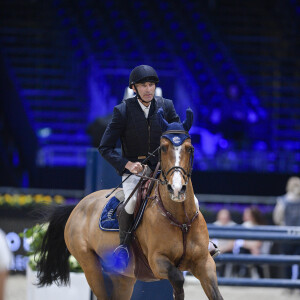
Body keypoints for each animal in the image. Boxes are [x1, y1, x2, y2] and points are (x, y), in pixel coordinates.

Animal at [37, 108, 223, 300]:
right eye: (163, 148)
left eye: (190, 148)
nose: (177, 189)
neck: (180, 220)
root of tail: (77, 207)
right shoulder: (158, 261)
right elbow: (178, 278)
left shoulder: (204, 263)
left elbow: (216, 295)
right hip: (92, 269)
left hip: (122, 278)